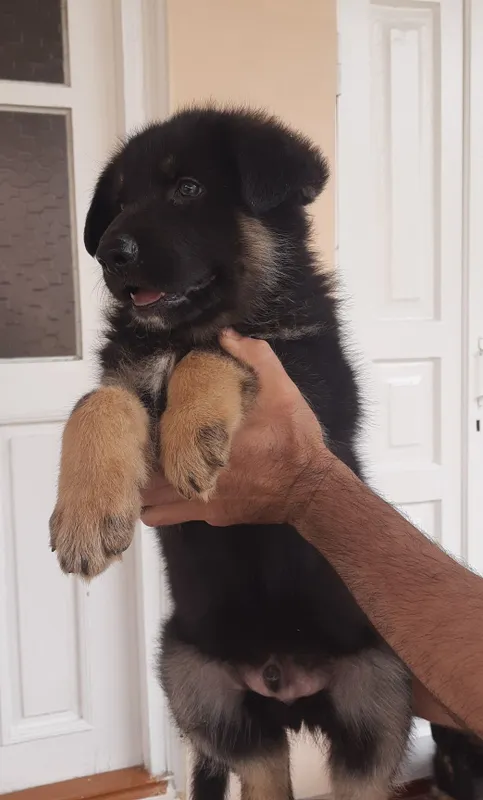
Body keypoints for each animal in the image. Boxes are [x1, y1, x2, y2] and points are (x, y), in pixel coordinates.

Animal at [50, 106, 412, 800]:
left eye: (187, 188)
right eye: (119, 203)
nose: (110, 253)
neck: (183, 327)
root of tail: (286, 686)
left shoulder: (311, 385)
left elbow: (216, 352)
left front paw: (193, 433)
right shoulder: (127, 377)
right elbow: (97, 402)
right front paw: (86, 516)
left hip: (376, 697)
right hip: (200, 685)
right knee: (262, 768)